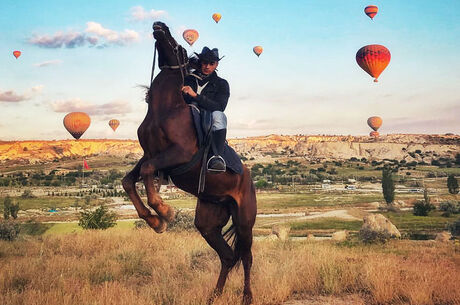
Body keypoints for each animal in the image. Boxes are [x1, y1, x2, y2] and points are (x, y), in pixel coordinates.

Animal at [122, 22, 256, 304]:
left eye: (180, 46)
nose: (159, 26)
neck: (165, 110)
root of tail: (248, 180)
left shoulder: (178, 154)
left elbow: (147, 173)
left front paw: (164, 212)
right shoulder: (150, 155)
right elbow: (128, 181)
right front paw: (155, 222)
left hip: (244, 221)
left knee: (246, 257)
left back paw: (247, 296)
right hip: (208, 223)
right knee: (228, 257)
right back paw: (214, 295)